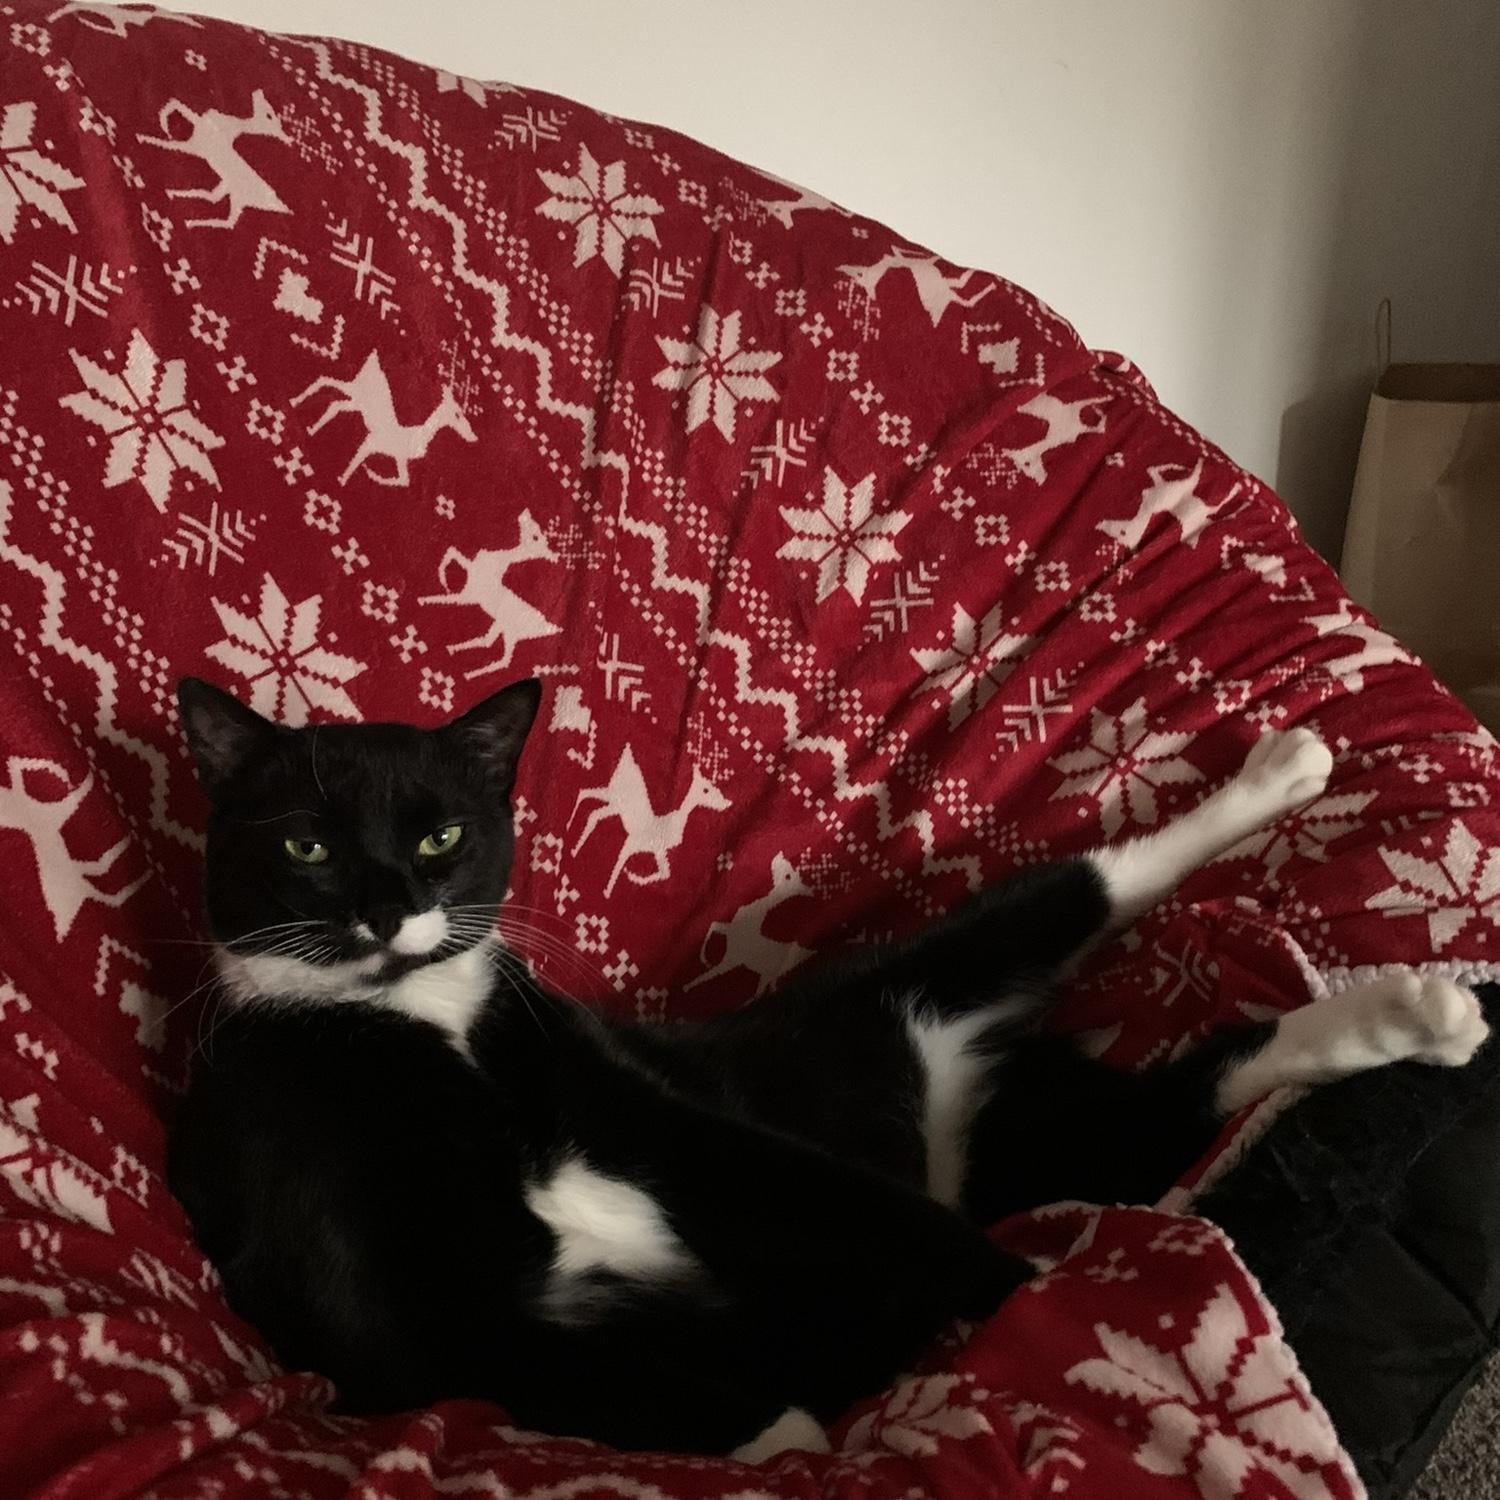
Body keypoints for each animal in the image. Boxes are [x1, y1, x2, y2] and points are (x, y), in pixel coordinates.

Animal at [168, 675, 1490, 1462]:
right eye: (306, 846)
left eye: (443, 833)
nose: (391, 908)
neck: (423, 1027)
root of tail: (953, 1097)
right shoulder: (415, 1327)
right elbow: (695, 1403)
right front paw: (816, 1429)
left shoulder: (669, 1121)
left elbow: (840, 1200)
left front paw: (1039, 1303)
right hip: (1041, 1140)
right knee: (1178, 1106)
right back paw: (1413, 1011)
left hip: (909, 977)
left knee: (1090, 891)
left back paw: (1290, 786)